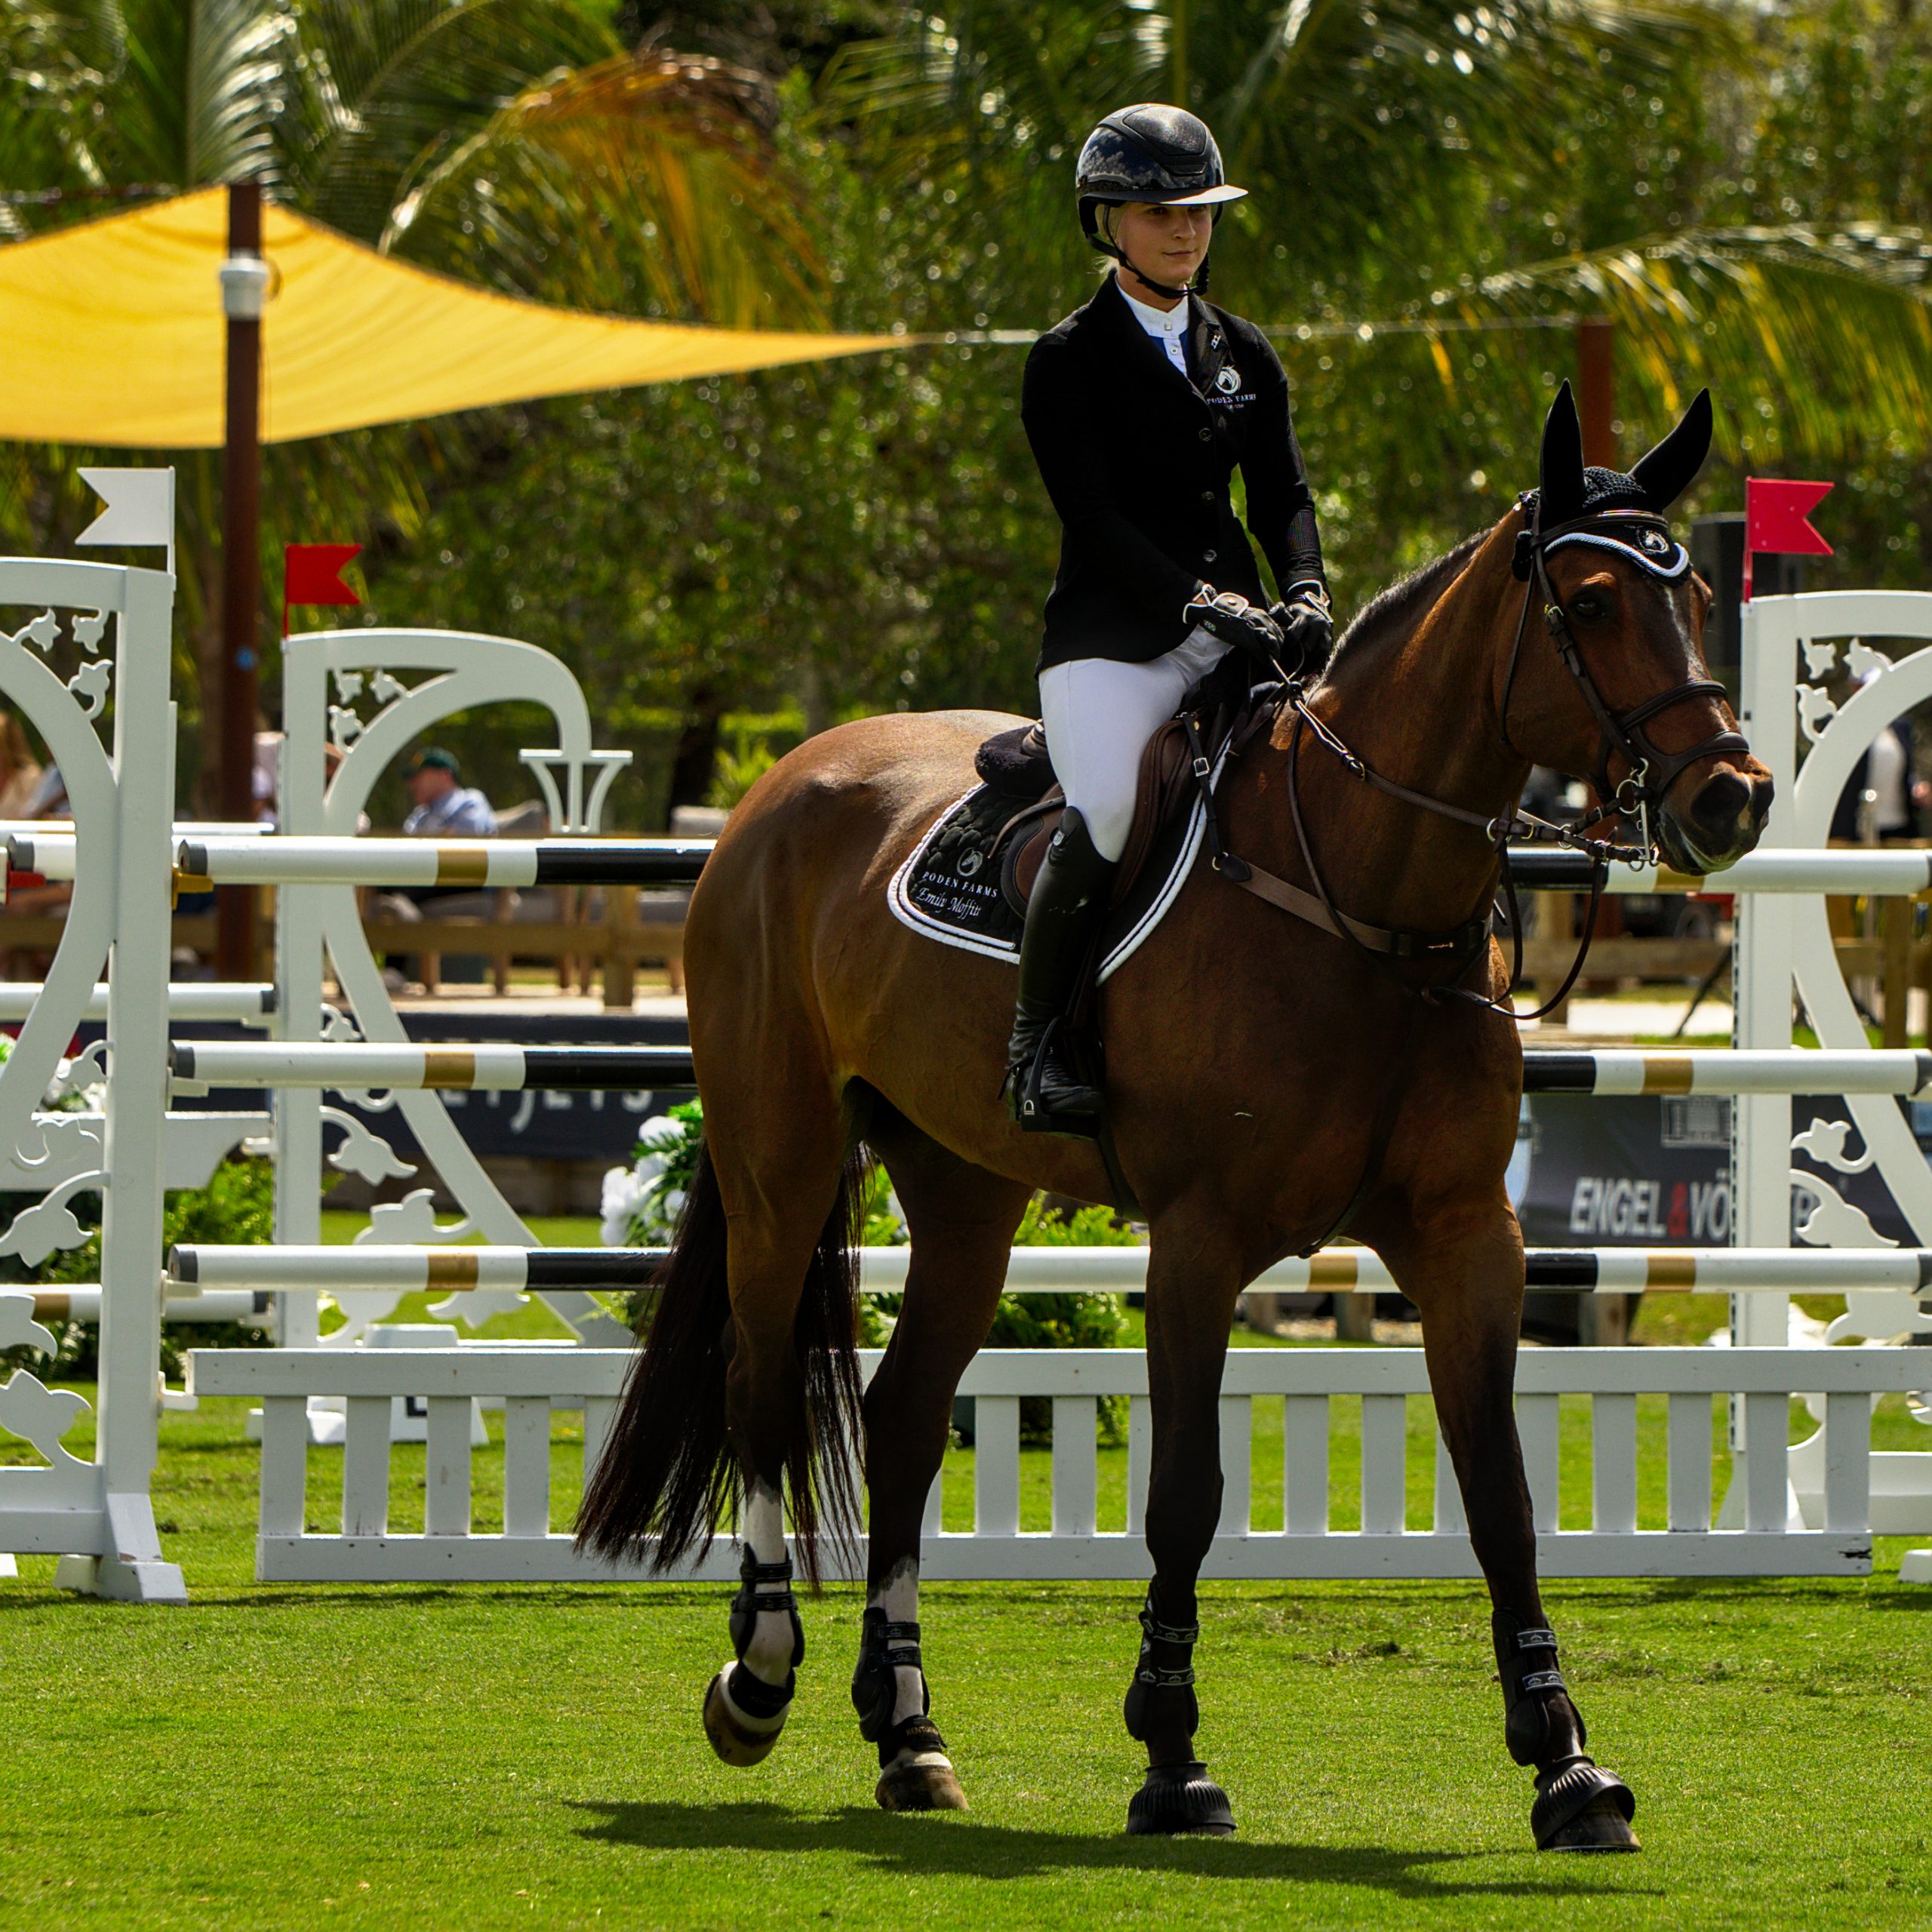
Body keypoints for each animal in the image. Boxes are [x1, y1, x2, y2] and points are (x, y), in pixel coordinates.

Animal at [580, 384, 1769, 1847]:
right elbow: (1186, 1494)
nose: (1733, 796)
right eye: (1593, 603)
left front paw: (1568, 1765)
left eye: (1700, 592)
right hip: (779, 1157)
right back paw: (758, 1677)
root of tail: (778, 788)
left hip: (965, 1188)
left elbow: (1501, 1494)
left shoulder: (1462, 1235)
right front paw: (1171, 1755)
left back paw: (910, 1736)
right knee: (761, 1391)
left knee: (903, 1416)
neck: (1362, 888)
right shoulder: (1199, 1241)